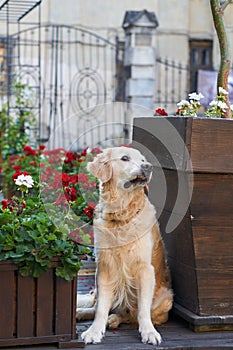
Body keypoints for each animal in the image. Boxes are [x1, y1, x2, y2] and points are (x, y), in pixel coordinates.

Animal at [80, 146, 173, 346]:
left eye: (143, 159)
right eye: (125, 158)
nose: (148, 166)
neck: (121, 216)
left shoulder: (145, 269)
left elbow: (143, 310)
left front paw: (149, 332)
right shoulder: (104, 268)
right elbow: (100, 308)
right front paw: (94, 331)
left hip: (165, 299)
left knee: (131, 315)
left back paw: (114, 319)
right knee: (96, 306)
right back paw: (82, 313)